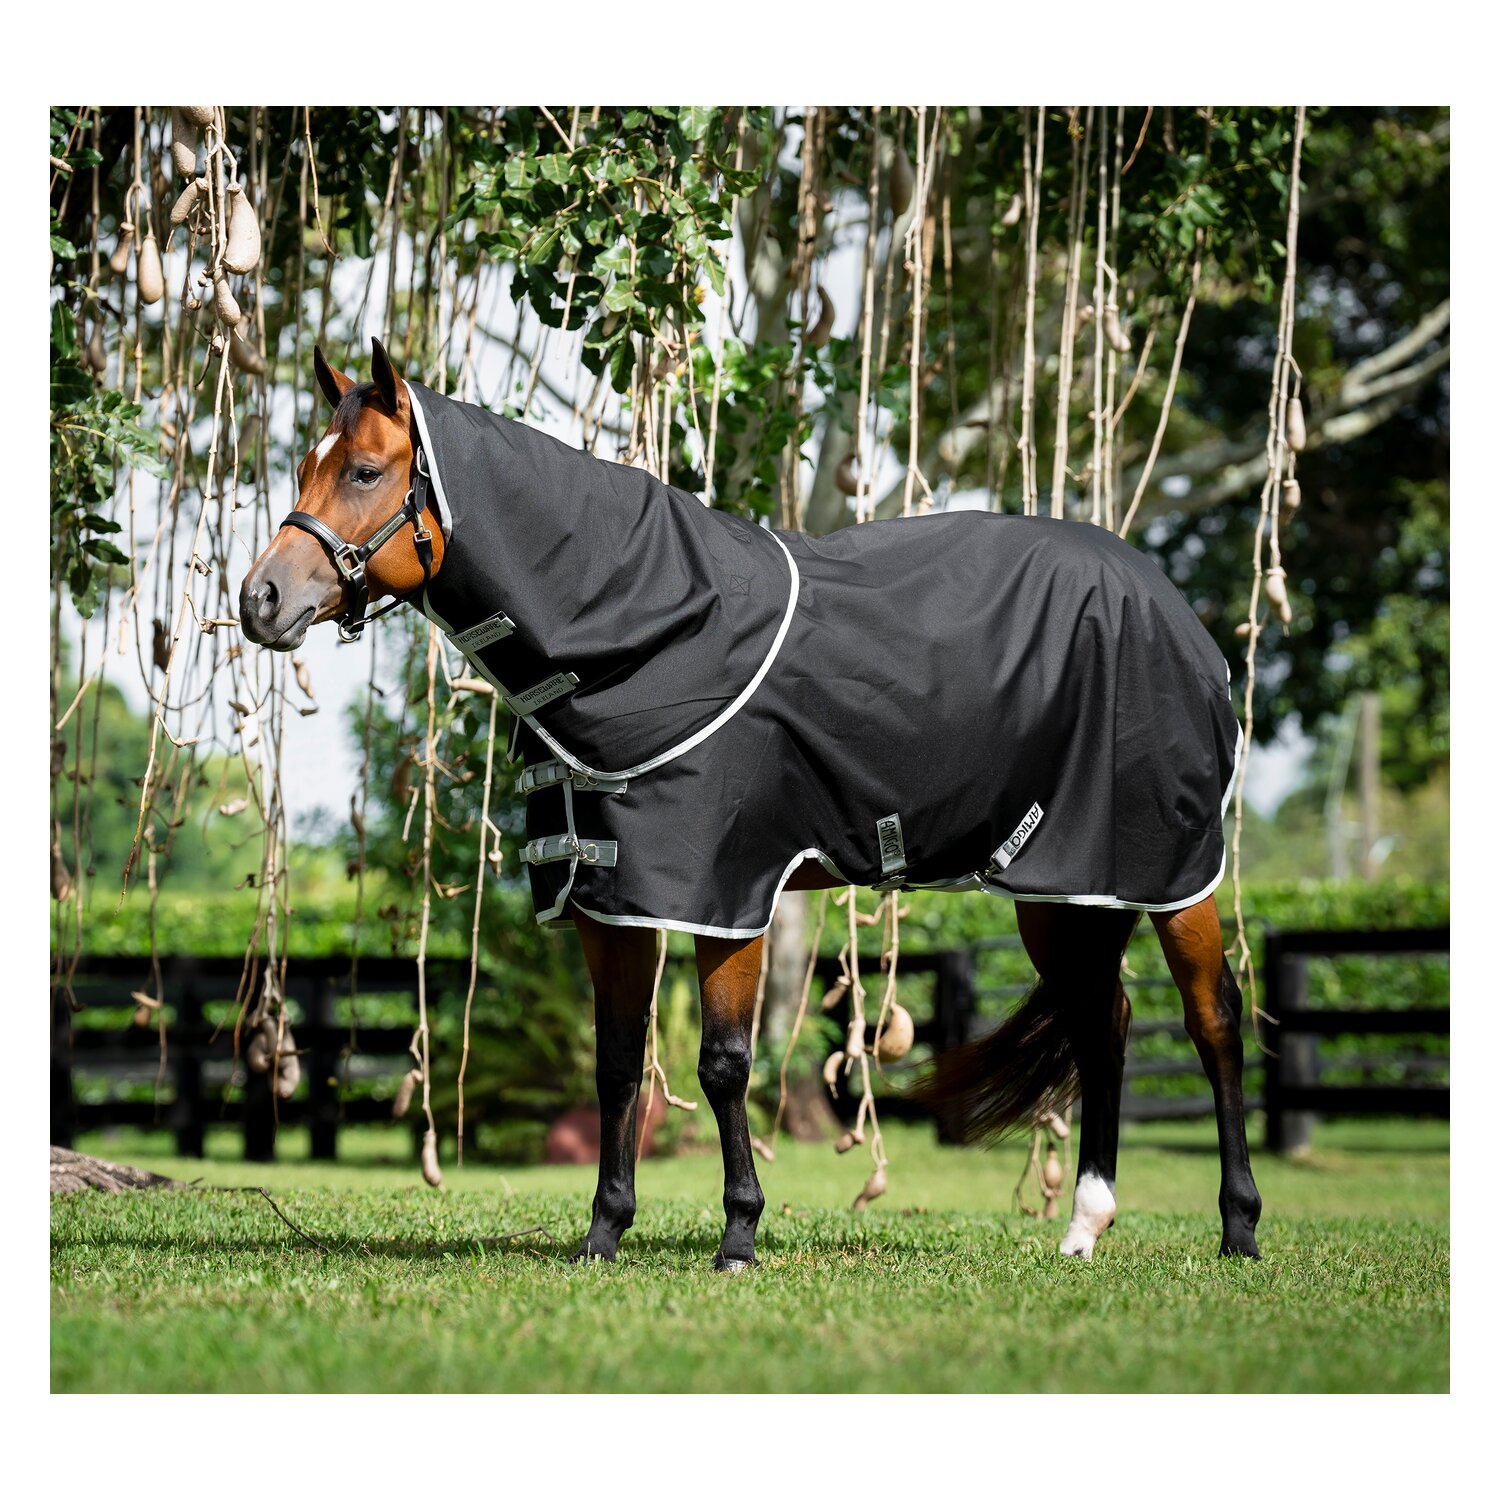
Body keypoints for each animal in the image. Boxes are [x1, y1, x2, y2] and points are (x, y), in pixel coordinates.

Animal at [241, 340, 1262, 1268]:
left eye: (366, 470)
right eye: (303, 468)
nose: (261, 599)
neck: (649, 629)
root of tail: (1170, 605)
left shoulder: (726, 895)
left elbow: (723, 1064)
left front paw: (739, 1235)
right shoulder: (613, 902)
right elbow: (620, 1065)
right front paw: (604, 1233)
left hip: (1173, 874)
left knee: (1213, 1020)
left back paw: (1239, 1227)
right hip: (1064, 887)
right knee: (1103, 1023)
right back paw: (1085, 1225)